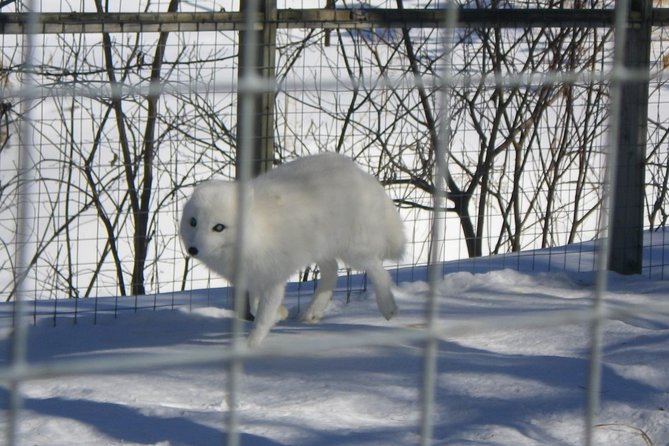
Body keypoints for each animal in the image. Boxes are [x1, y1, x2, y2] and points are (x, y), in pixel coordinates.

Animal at [180, 152, 404, 346]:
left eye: (219, 227)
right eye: (193, 222)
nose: (192, 250)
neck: (256, 233)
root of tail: (360, 172)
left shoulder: (273, 278)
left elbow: (262, 316)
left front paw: (249, 346)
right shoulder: (255, 277)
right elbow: (255, 305)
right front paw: (280, 314)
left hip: (353, 251)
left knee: (378, 270)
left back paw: (388, 307)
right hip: (320, 248)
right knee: (331, 271)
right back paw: (312, 311)